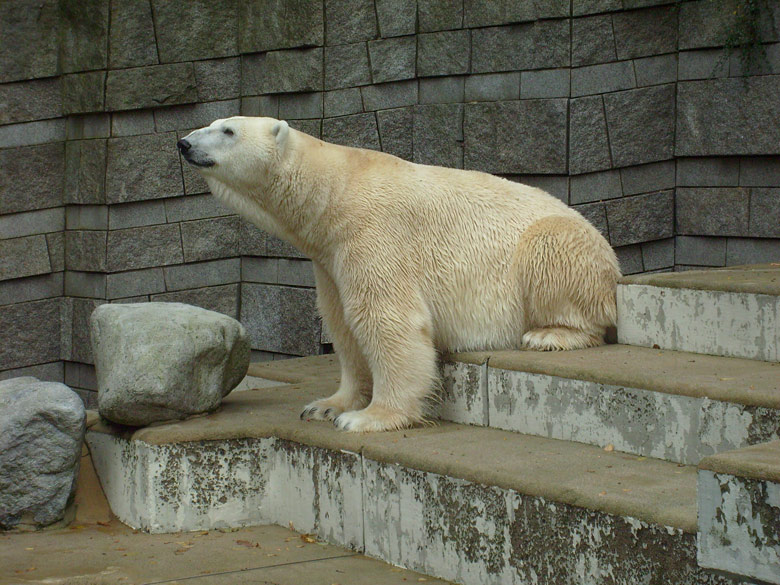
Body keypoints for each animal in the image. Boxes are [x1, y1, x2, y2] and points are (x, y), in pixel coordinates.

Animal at [178, 116, 620, 432]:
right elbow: (342, 325)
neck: (336, 192)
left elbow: (385, 320)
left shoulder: (373, 233)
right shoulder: (329, 257)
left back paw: (549, 335)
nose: (184, 143)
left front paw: (368, 417)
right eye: (214, 122)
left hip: (566, 247)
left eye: (228, 130)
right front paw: (327, 405)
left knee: (552, 255)